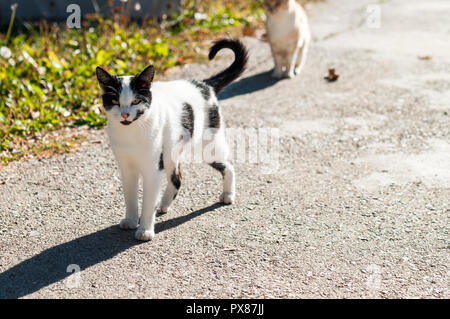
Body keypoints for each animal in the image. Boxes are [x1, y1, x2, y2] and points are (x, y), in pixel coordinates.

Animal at [96, 38, 250, 241]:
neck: (131, 134)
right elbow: (130, 197)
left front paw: (145, 230)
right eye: (115, 101)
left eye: (136, 101)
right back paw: (164, 203)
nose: (125, 115)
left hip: (209, 146)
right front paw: (130, 220)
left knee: (229, 166)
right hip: (171, 151)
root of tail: (204, 85)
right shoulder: (126, 168)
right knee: (177, 178)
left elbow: (148, 201)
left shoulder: (153, 169)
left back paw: (228, 195)